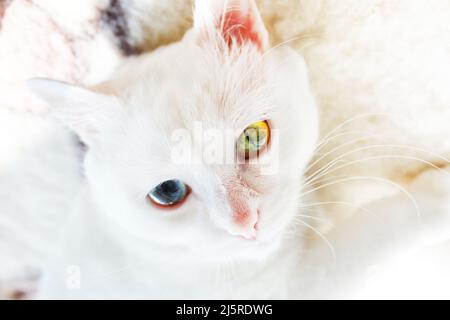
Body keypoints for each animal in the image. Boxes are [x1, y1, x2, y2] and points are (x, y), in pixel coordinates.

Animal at [21, 0, 450, 300]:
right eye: (168, 192)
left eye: (252, 137)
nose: (247, 222)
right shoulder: (306, 283)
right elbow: (377, 230)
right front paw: (437, 193)